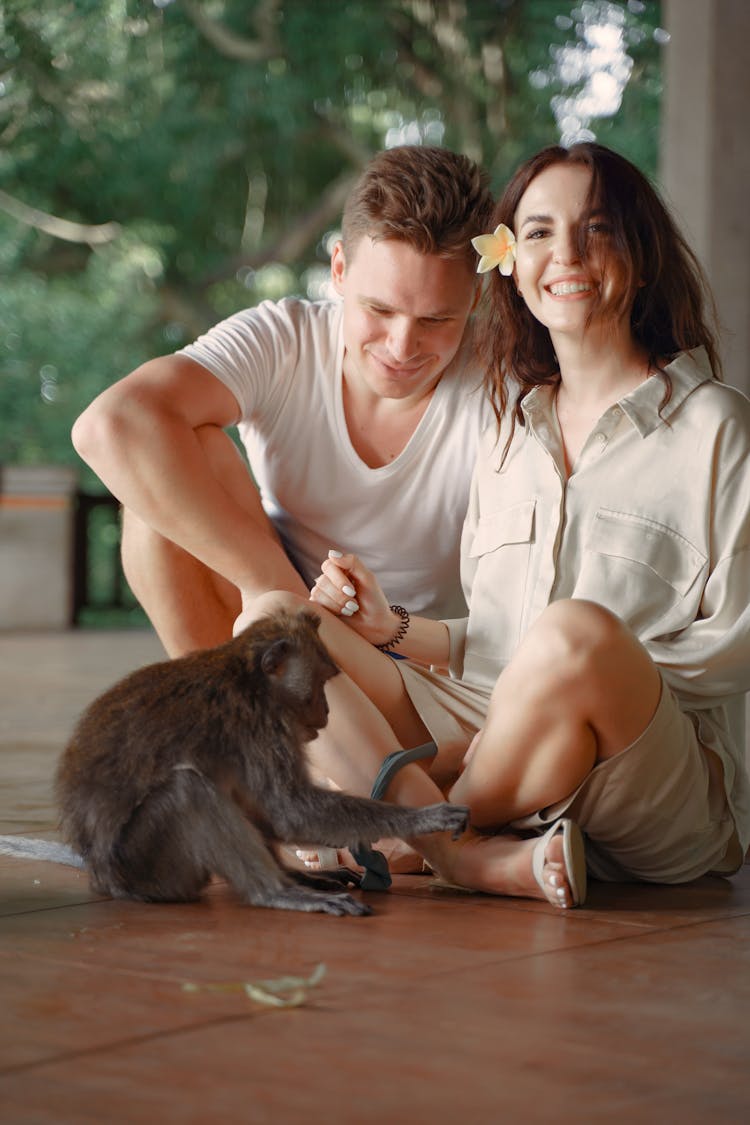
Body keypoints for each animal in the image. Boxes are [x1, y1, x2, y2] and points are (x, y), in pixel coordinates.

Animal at [57, 612, 470, 918]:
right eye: (322, 681)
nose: (327, 710)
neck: (248, 677)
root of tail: (102, 876)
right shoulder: (260, 723)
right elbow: (289, 811)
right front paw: (422, 818)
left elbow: (272, 811)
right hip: (145, 868)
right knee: (188, 792)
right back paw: (275, 892)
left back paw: (295, 877)